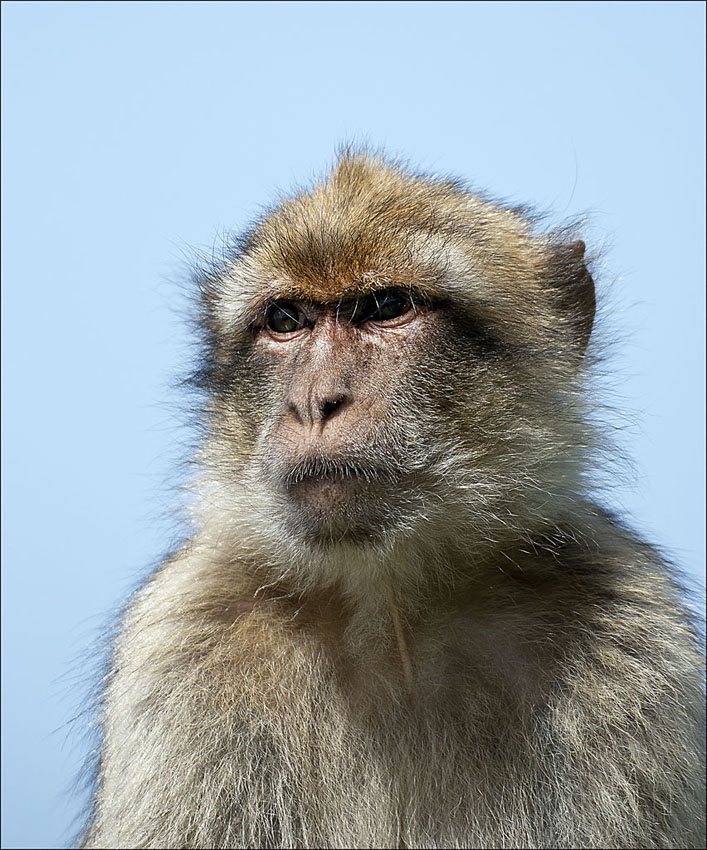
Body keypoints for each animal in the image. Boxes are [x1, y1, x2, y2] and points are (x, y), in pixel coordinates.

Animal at [79, 150, 705, 849]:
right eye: (286, 321)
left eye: (385, 306)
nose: (313, 402)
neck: (390, 602)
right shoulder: (182, 640)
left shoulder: (628, 640)